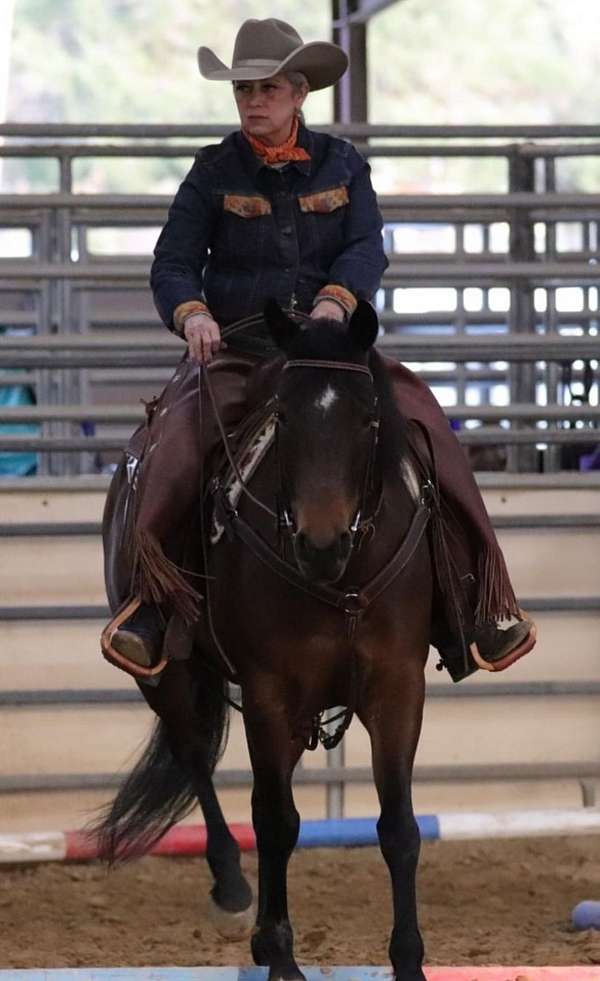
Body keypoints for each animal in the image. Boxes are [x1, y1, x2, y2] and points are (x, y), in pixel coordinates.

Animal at [98, 300, 436, 980]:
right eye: (283, 417)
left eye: (368, 418)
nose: (320, 542)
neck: (342, 581)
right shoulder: (268, 692)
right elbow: (276, 821)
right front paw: (280, 955)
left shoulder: (397, 687)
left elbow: (399, 828)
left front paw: (408, 961)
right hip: (172, 679)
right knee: (195, 759)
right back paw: (231, 887)